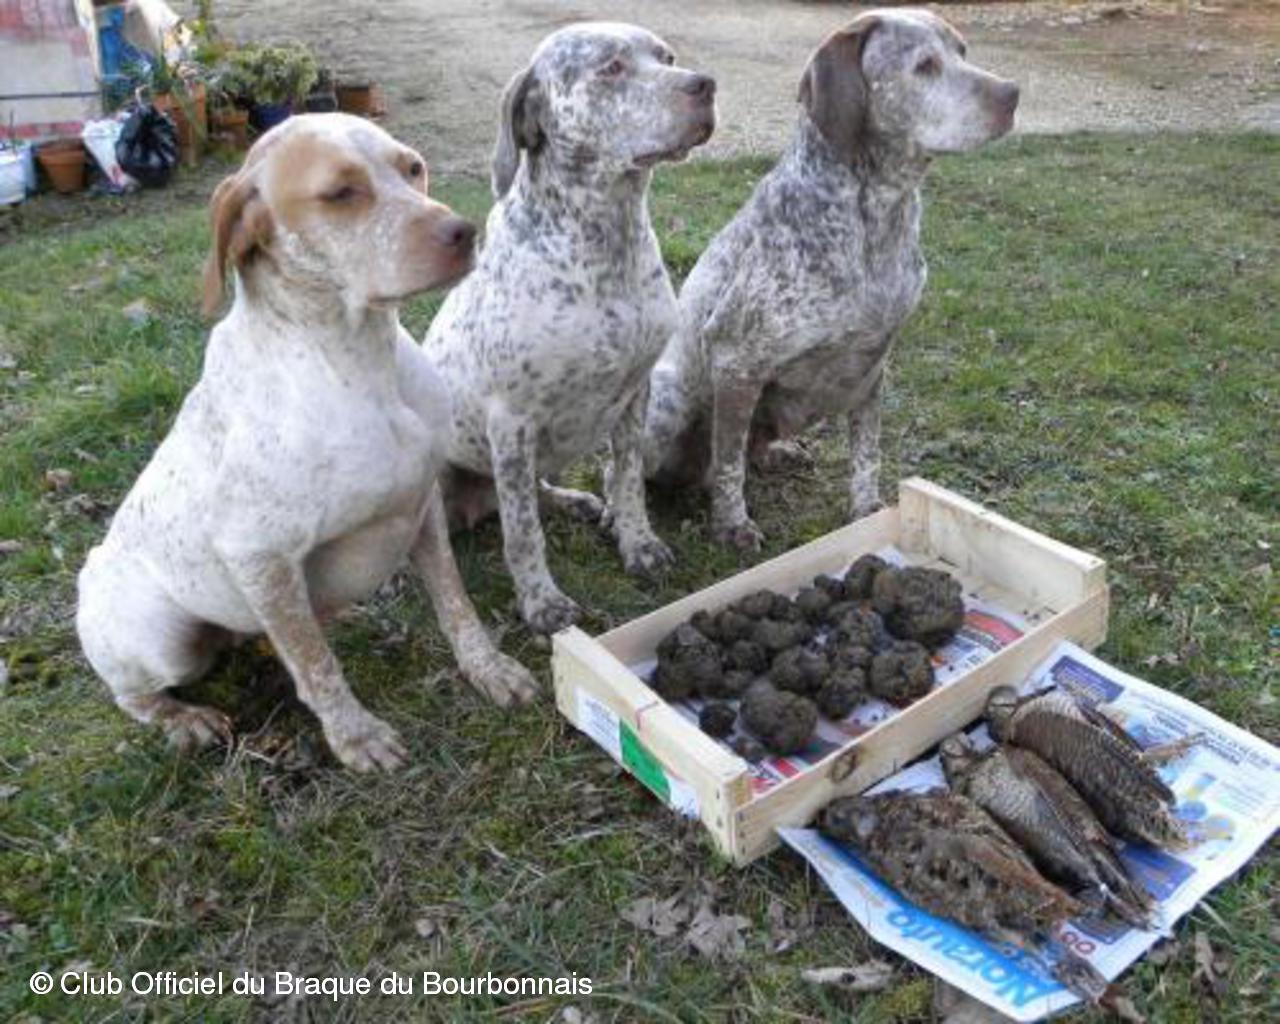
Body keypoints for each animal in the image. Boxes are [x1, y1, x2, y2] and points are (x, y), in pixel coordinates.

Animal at [77, 113, 537, 772]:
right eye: (340, 193)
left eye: (412, 168)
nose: (464, 231)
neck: (357, 364)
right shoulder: (260, 557)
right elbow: (316, 665)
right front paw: (355, 736)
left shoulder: (422, 507)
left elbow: (456, 604)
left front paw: (489, 669)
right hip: (163, 643)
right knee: (134, 694)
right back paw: (184, 720)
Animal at [422, 22, 716, 634]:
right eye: (611, 67)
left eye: (667, 56)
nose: (705, 85)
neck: (606, 244)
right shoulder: (511, 421)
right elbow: (522, 534)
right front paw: (541, 602)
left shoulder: (634, 393)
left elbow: (627, 480)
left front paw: (638, 543)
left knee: (533, 493)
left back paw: (573, 501)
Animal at [645, 10, 1018, 549]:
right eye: (924, 65)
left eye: (963, 52)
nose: (1013, 94)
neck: (876, 220)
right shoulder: (737, 363)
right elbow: (729, 463)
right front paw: (733, 525)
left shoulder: (872, 364)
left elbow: (867, 454)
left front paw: (865, 511)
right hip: (668, 400)